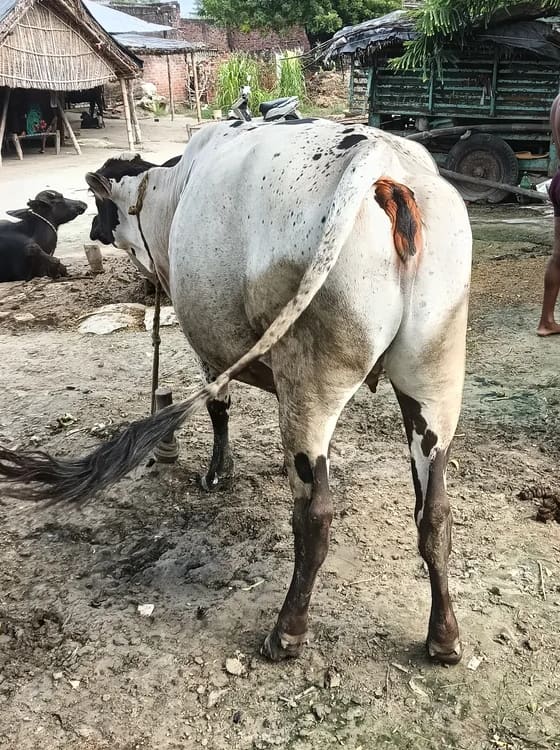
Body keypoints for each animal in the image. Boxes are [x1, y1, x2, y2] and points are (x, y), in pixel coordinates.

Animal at [0, 118, 472, 665]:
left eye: (99, 203)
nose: (95, 228)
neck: (169, 190)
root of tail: (382, 162)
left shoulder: (207, 346)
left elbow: (218, 407)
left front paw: (217, 471)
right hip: (433, 381)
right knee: (435, 513)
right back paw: (444, 636)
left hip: (311, 381)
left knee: (315, 516)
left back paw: (287, 631)